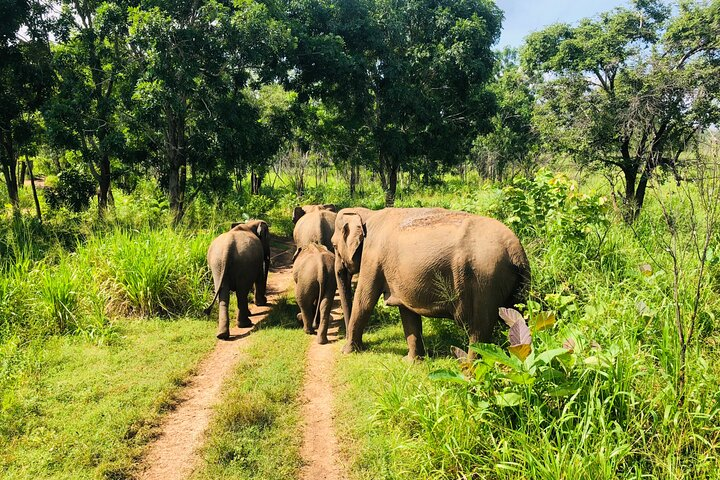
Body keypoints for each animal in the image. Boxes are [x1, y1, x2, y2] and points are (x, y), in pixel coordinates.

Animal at [332, 207, 528, 360]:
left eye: (333, 245)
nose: (344, 338)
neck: (368, 214)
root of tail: (515, 251)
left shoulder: (372, 257)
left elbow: (364, 301)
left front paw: (346, 352)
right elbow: (407, 312)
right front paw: (411, 361)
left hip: (485, 281)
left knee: (479, 329)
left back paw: (470, 370)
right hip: (514, 284)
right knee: (519, 315)